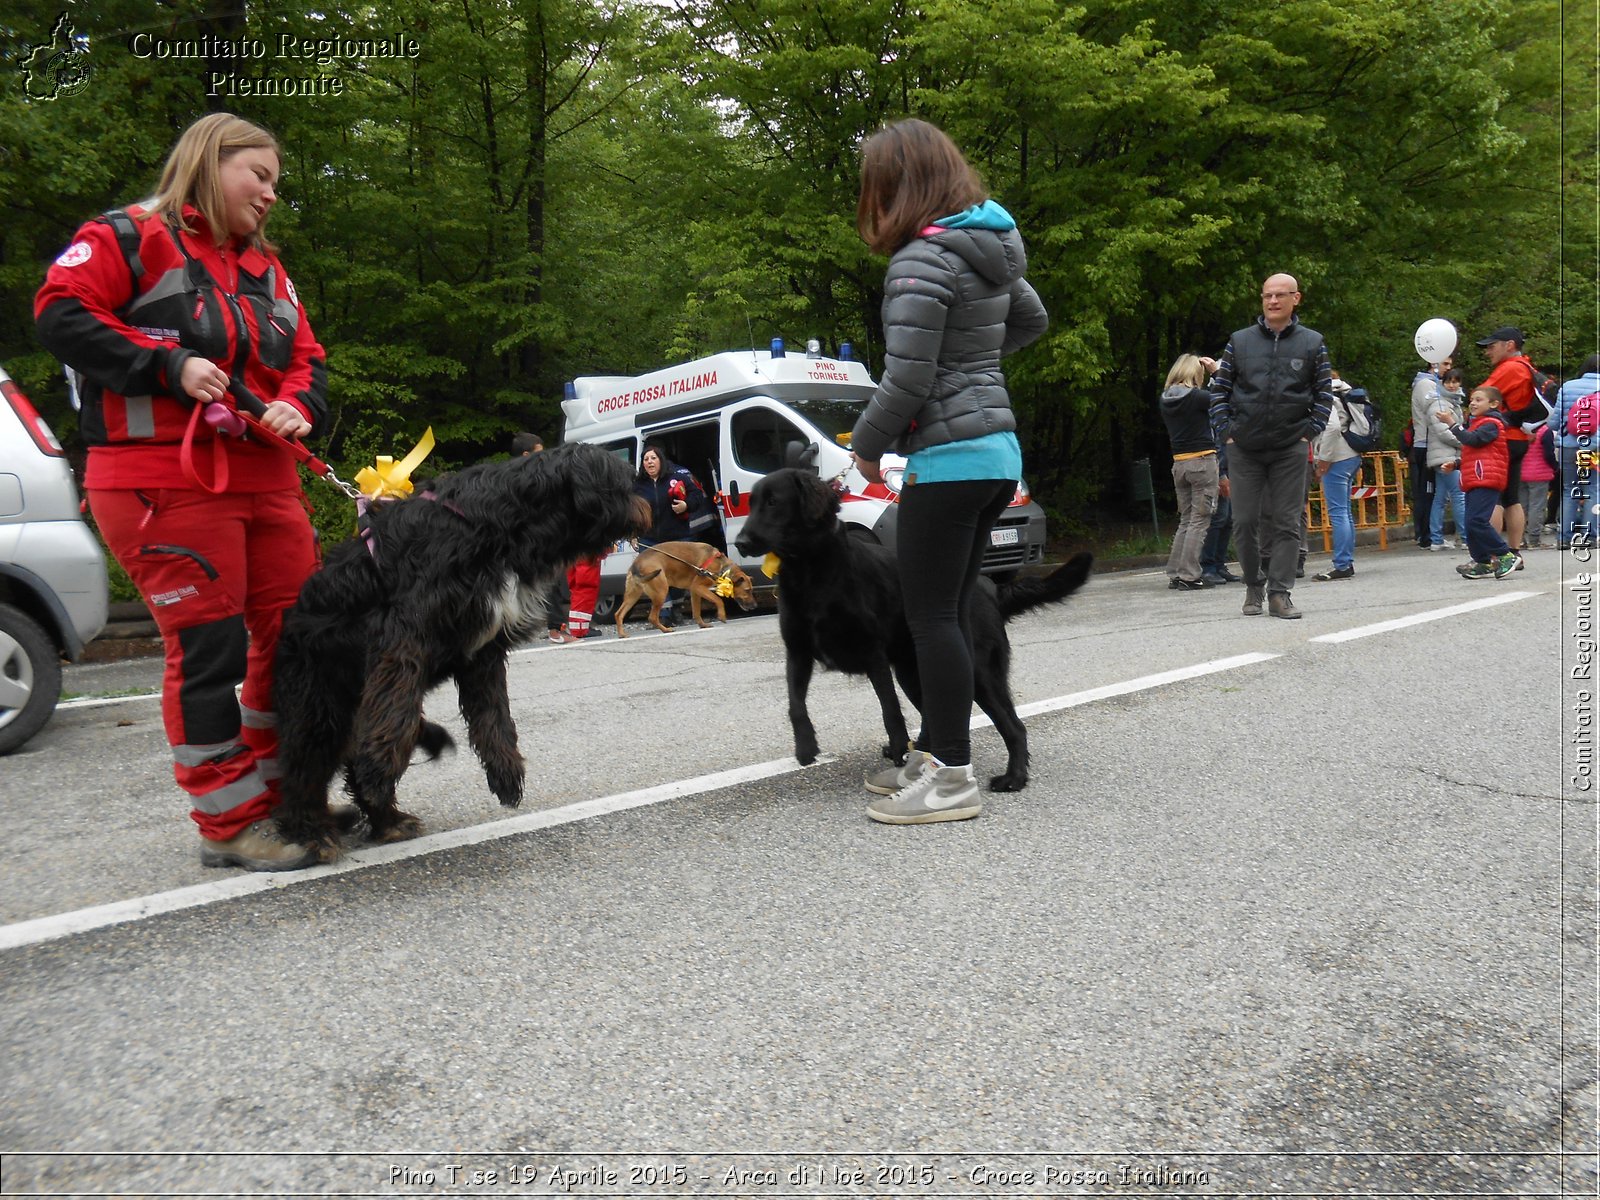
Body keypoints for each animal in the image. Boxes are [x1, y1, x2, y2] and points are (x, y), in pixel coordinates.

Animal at [275, 448, 649, 857]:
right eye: (624, 481)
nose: (647, 508)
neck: (494, 527)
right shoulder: (404, 634)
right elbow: (397, 711)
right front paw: (380, 764)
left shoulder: (483, 652)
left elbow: (493, 714)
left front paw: (506, 771)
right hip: (321, 706)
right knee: (301, 770)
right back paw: (312, 830)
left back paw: (388, 821)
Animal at [614, 544, 758, 640]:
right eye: (747, 590)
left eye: (751, 590)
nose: (755, 606)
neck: (723, 567)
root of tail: (636, 565)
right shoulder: (698, 587)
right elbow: (718, 600)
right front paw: (722, 615)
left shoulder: (695, 590)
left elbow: (696, 611)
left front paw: (702, 624)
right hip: (661, 592)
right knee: (652, 617)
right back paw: (665, 629)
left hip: (633, 596)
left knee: (618, 614)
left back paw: (622, 634)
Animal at [732, 464, 1088, 793]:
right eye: (752, 503)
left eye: (774, 502)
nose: (740, 542)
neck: (811, 571)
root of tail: (990, 588)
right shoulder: (797, 651)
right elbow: (795, 705)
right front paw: (806, 747)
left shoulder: (873, 653)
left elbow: (890, 710)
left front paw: (899, 749)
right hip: (913, 671)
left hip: (978, 673)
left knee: (1014, 727)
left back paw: (1013, 777)